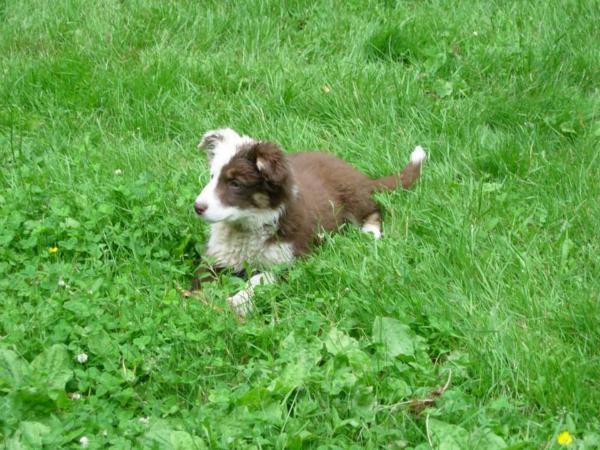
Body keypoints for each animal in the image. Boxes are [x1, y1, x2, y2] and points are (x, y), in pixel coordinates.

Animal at [192, 126, 426, 316]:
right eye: (212, 176)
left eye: (235, 183)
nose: (197, 207)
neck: (247, 227)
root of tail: (362, 177)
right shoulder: (217, 256)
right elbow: (202, 279)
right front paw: (198, 301)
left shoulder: (294, 261)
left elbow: (262, 277)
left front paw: (238, 302)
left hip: (354, 198)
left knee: (375, 210)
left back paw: (369, 232)